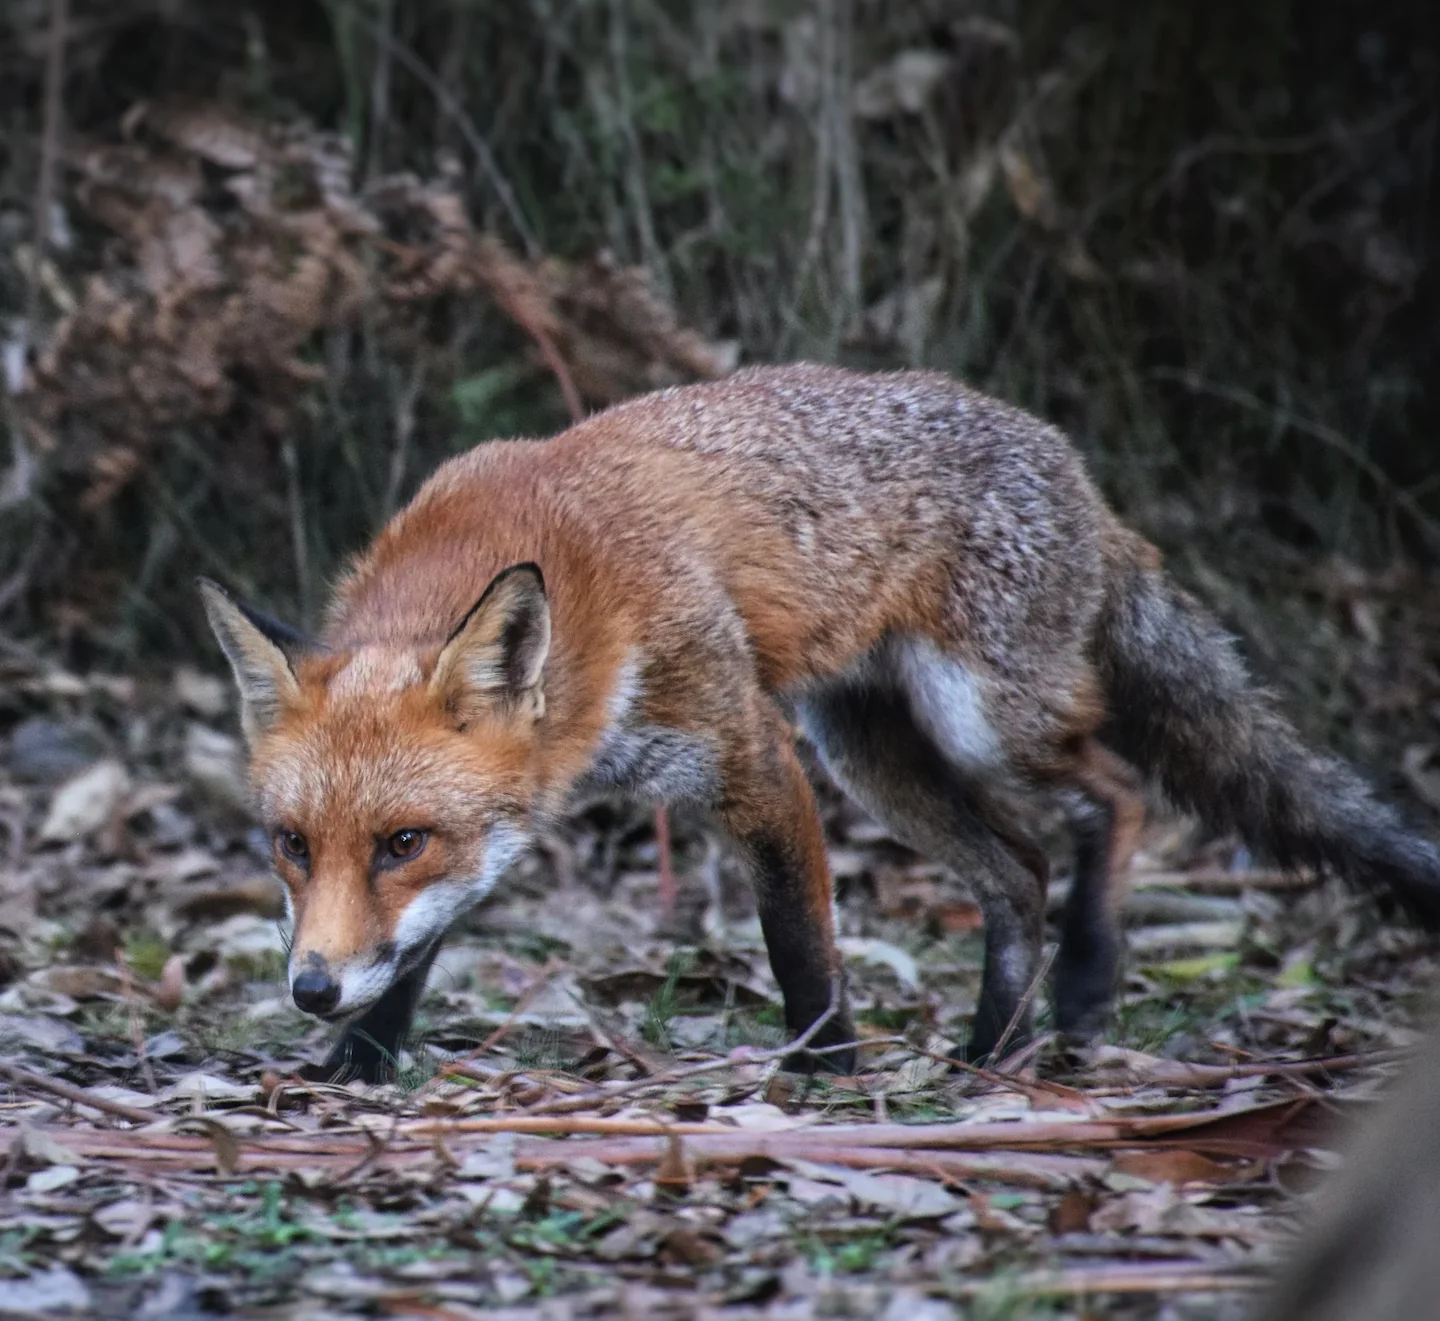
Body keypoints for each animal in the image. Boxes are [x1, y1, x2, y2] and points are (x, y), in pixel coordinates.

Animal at [199, 363, 1440, 1084]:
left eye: (403, 841)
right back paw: (990, 1047)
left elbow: (799, 935)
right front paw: (361, 1060)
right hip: (877, 757)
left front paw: (825, 1066)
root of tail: (1085, 482)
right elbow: (416, 948)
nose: (309, 991)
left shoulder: (750, 754)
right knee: (1020, 869)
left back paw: (1084, 981)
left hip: (978, 721)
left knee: (1114, 795)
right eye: (292, 845)